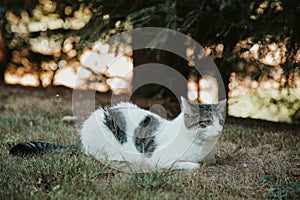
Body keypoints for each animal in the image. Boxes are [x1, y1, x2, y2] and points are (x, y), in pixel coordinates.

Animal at [9, 97, 226, 170]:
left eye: (220, 121)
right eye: (206, 122)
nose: (218, 130)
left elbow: (209, 161)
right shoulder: (159, 159)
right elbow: (193, 165)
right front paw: (196, 164)